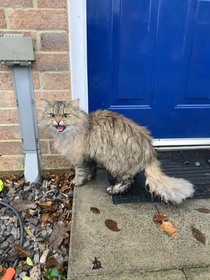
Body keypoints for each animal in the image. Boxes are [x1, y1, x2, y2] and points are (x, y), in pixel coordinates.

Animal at [40, 99, 194, 205]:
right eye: (52, 115)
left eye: (65, 115)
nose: (58, 121)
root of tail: (149, 152)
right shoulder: (91, 155)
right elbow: (91, 169)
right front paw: (90, 177)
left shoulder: (80, 157)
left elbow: (80, 171)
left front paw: (77, 181)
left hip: (115, 162)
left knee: (127, 181)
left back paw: (114, 189)